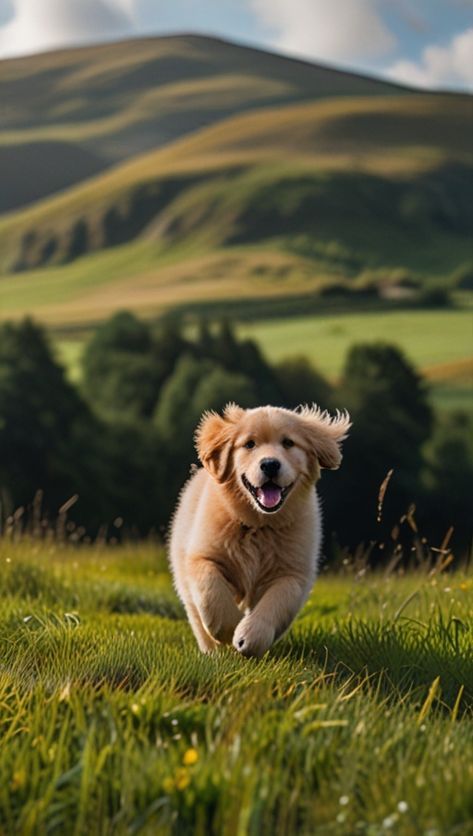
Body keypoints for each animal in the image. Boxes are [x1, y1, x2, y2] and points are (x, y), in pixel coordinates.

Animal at [168, 402, 348, 656]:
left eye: (288, 443)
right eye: (249, 444)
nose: (270, 464)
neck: (260, 525)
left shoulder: (293, 573)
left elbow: (277, 602)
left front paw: (249, 637)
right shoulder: (201, 556)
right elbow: (210, 589)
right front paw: (228, 629)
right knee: (196, 615)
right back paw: (212, 650)